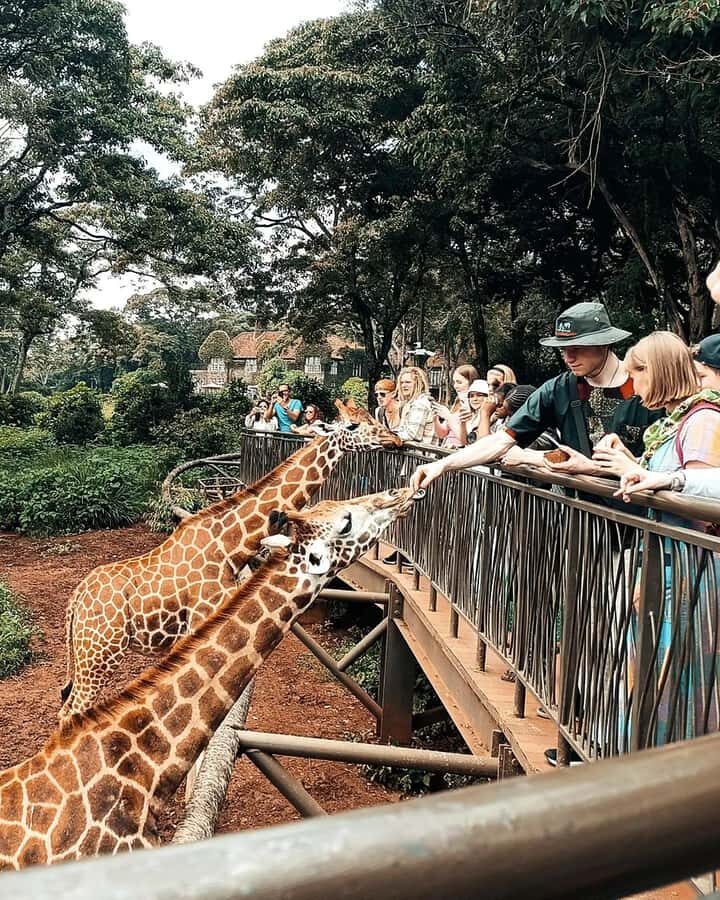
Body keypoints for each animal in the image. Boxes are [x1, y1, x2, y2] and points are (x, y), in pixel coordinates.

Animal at [60, 402, 401, 718]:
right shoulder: (202, 622)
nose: (394, 437)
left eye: (370, 415)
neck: (231, 546)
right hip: (100, 654)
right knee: (72, 710)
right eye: (354, 424)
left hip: (85, 654)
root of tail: (75, 602)